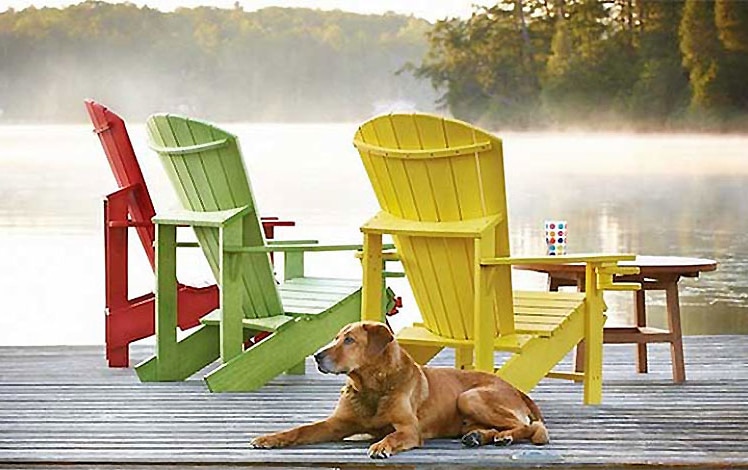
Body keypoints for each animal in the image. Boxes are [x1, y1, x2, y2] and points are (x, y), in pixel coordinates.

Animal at [251, 322, 548, 458]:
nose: (317, 356)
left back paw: (504, 436)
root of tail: (517, 390)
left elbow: (393, 435)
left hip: (470, 396)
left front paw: (381, 445)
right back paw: (479, 436)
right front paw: (270, 438)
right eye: (336, 338)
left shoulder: (409, 429)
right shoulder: (336, 424)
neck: (370, 386)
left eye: (349, 340)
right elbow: (300, 430)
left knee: (529, 427)